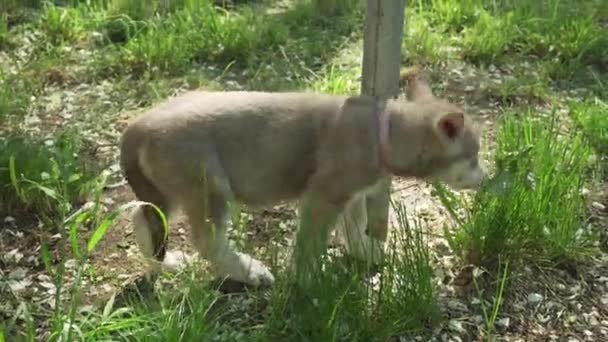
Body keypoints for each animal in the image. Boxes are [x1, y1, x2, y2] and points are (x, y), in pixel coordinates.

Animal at [120, 76, 484, 288]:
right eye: (474, 156)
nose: (484, 178)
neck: (383, 133)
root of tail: (137, 126)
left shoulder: (350, 195)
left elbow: (354, 229)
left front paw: (368, 251)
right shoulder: (322, 197)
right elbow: (310, 245)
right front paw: (306, 280)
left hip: (169, 194)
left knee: (142, 218)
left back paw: (167, 263)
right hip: (210, 188)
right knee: (206, 241)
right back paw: (252, 272)